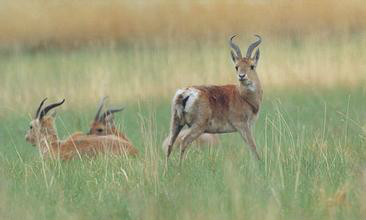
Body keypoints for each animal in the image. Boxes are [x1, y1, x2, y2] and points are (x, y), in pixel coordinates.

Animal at [166, 34, 264, 164]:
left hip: (176, 124)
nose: (241, 76)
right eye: (236, 67)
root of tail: (185, 93)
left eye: (251, 66)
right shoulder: (243, 126)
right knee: (183, 142)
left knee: (170, 145)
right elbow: (253, 147)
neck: (242, 96)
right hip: (197, 127)